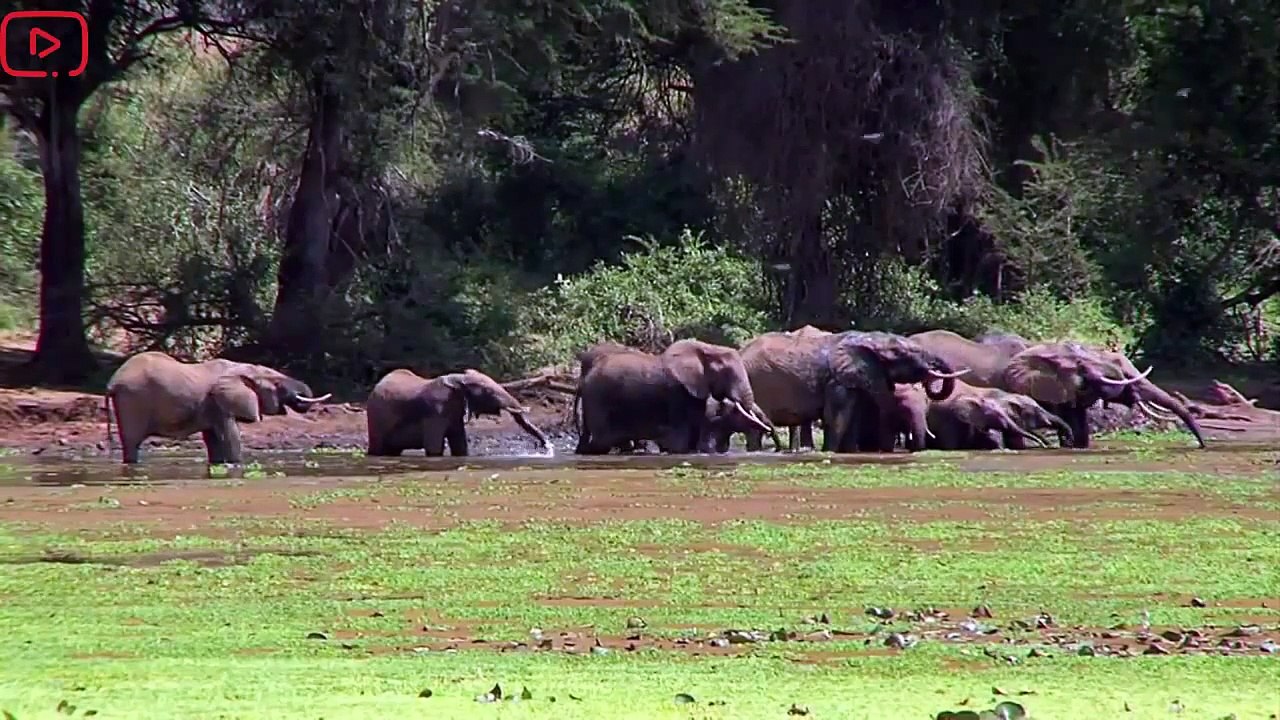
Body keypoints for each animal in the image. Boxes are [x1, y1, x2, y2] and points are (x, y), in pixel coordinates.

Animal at [104, 351, 331, 464]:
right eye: (277, 384)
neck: (243, 368)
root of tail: (112, 381)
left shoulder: (211, 406)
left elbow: (213, 440)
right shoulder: (221, 402)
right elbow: (231, 437)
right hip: (133, 399)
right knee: (132, 441)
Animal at [366, 368, 551, 456]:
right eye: (487, 392)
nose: (546, 446)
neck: (459, 379)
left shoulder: (454, 412)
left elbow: (460, 446)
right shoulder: (435, 410)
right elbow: (434, 448)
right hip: (376, 418)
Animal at [576, 338, 775, 455]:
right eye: (728, 374)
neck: (706, 349)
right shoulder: (678, 392)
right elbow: (681, 439)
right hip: (598, 397)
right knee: (602, 438)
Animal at [741, 329, 970, 454]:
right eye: (909, 353)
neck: (869, 340)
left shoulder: (856, 381)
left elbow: (853, 420)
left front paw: (850, 453)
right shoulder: (838, 380)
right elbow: (837, 418)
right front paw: (830, 453)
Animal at [1000, 343, 1207, 449]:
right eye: (1081, 367)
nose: (1201, 446)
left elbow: (1078, 417)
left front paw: (1079, 446)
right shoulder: (1055, 389)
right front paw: (1070, 445)